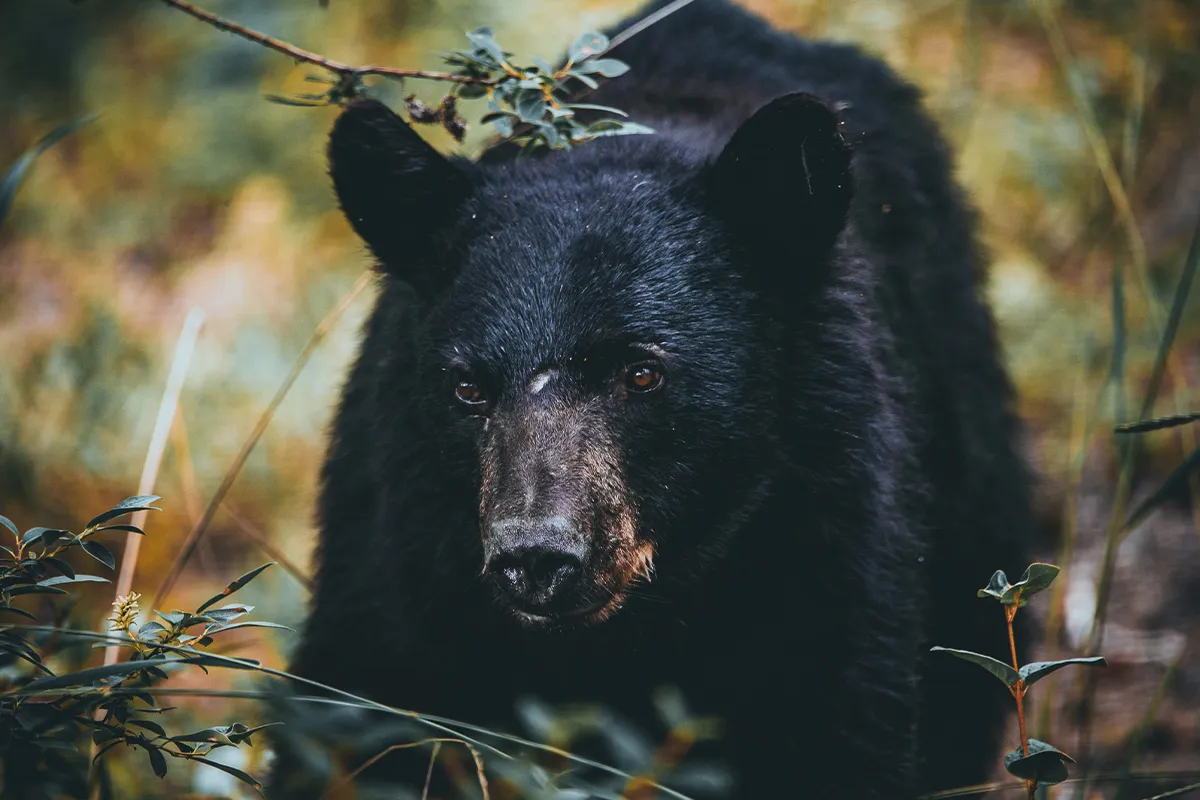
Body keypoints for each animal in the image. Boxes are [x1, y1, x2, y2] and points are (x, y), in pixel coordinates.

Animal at [274, 0, 1034, 797]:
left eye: (642, 373)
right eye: (467, 388)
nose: (536, 558)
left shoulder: (831, 550)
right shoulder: (402, 561)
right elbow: (361, 726)